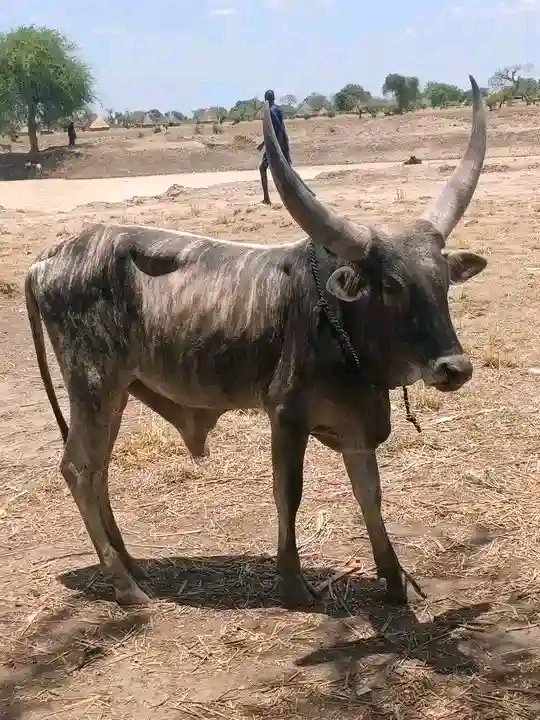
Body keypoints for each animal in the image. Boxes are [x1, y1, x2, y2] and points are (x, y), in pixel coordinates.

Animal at [25, 76, 488, 608]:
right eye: (390, 285)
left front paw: (395, 580)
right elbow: (289, 493)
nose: (454, 368)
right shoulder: (285, 416)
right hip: (93, 385)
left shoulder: (355, 427)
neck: (338, 320)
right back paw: (126, 586)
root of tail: (47, 258)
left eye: (443, 281)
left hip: (115, 392)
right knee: (79, 468)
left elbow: (369, 495)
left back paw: (131, 563)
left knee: (99, 468)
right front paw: (293, 583)